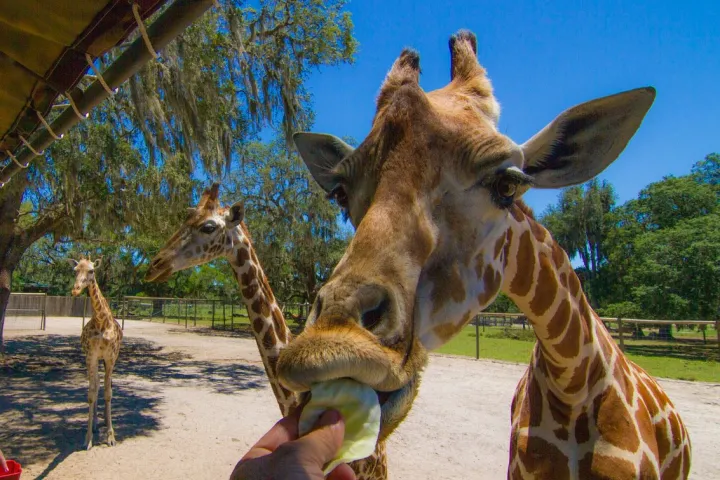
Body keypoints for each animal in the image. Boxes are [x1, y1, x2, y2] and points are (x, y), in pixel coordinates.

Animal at [69, 256, 123, 450]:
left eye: (91, 271)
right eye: (75, 270)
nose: (75, 290)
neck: (101, 321)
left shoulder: (110, 357)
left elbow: (109, 393)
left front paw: (111, 437)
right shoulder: (91, 357)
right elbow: (91, 394)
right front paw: (88, 439)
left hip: (106, 360)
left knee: (105, 386)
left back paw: (104, 423)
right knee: (97, 385)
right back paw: (95, 425)